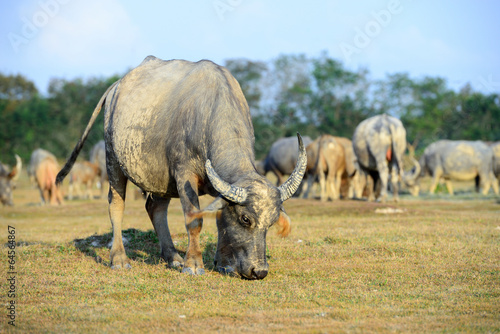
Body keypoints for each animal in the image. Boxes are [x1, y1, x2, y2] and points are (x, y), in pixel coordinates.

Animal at [56, 56, 306, 280]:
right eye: (246, 219)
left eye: (272, 222)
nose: (259, 271)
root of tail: (116, 87)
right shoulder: (184, 175)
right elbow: (194, 220)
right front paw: (193, 264)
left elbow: (220, 220)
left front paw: (223, 264)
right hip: (112, 159)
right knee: (116, 205)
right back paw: (119, 259)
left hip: (159, 178)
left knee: (155, 208)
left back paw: (172, 257)